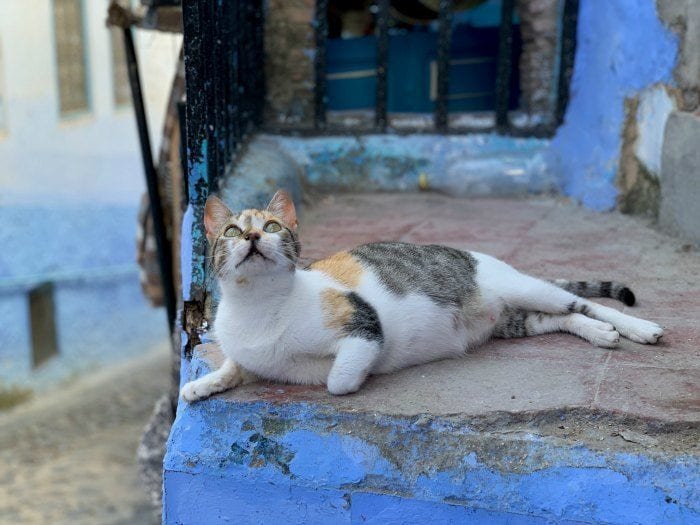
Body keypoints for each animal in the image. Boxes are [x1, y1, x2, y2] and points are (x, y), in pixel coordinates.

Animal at [179, 190, 660, 400]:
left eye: (273, 226)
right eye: (232, 231)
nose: (254, 236)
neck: (258, 306)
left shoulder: (363, 324)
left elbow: (337, 380)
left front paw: (355, 376)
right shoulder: (251, 357)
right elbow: (234, 367)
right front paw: (200, 385)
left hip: (522, 287)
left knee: (583, 301)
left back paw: (636, 328)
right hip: (513, 322)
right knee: (562, 317)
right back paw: (599, 334)